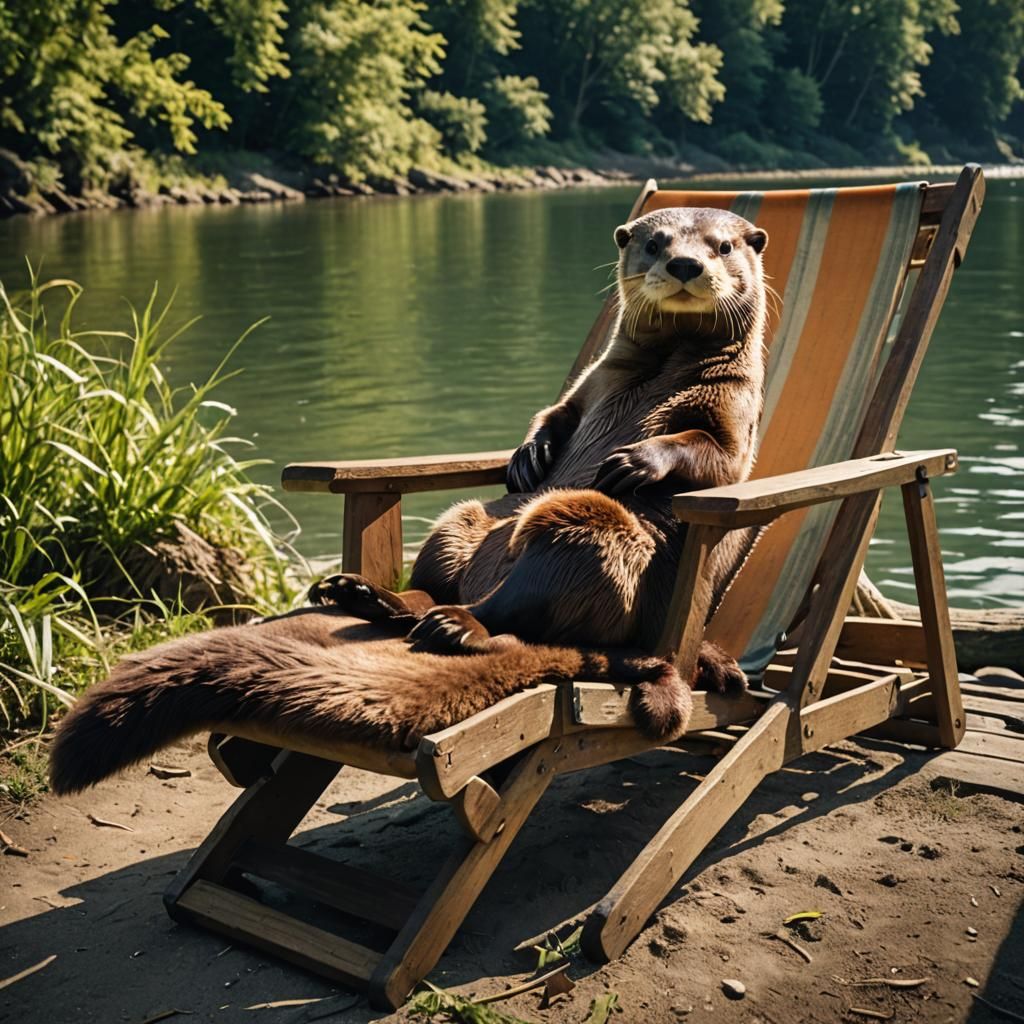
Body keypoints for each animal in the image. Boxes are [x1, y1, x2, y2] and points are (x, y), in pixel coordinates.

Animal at [315, 205, 769, 686]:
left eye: (723, 246)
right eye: (653, 244)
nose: (685, 263)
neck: (661, 372)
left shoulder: (736, 408)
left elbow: (713, 453)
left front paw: (633, 461)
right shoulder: (592, 381)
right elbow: (554, 414)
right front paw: (528, 456)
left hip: (595, 531)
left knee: (516, 603)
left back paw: (454, 623)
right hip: (463, 525)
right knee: (435, 581)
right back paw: (362, 593)